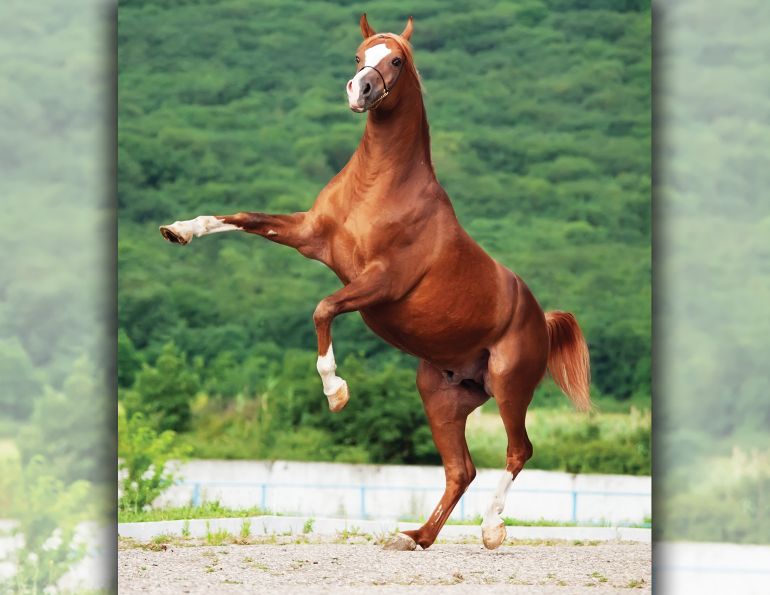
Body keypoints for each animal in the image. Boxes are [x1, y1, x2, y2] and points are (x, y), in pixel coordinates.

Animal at [159, 14, 591, 551]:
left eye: (397, 61)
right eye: (359, 54)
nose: (359, 90)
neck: (379, 186)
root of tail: (541, 316)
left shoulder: (381, 281)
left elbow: (323, 308)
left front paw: (336, 392)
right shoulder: (308, 235)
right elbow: (241, 217)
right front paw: (179, 229)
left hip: (510, 387)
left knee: (518, 451)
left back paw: (491, 530)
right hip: (442, 396)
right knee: (461, 470)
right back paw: (414, 537)